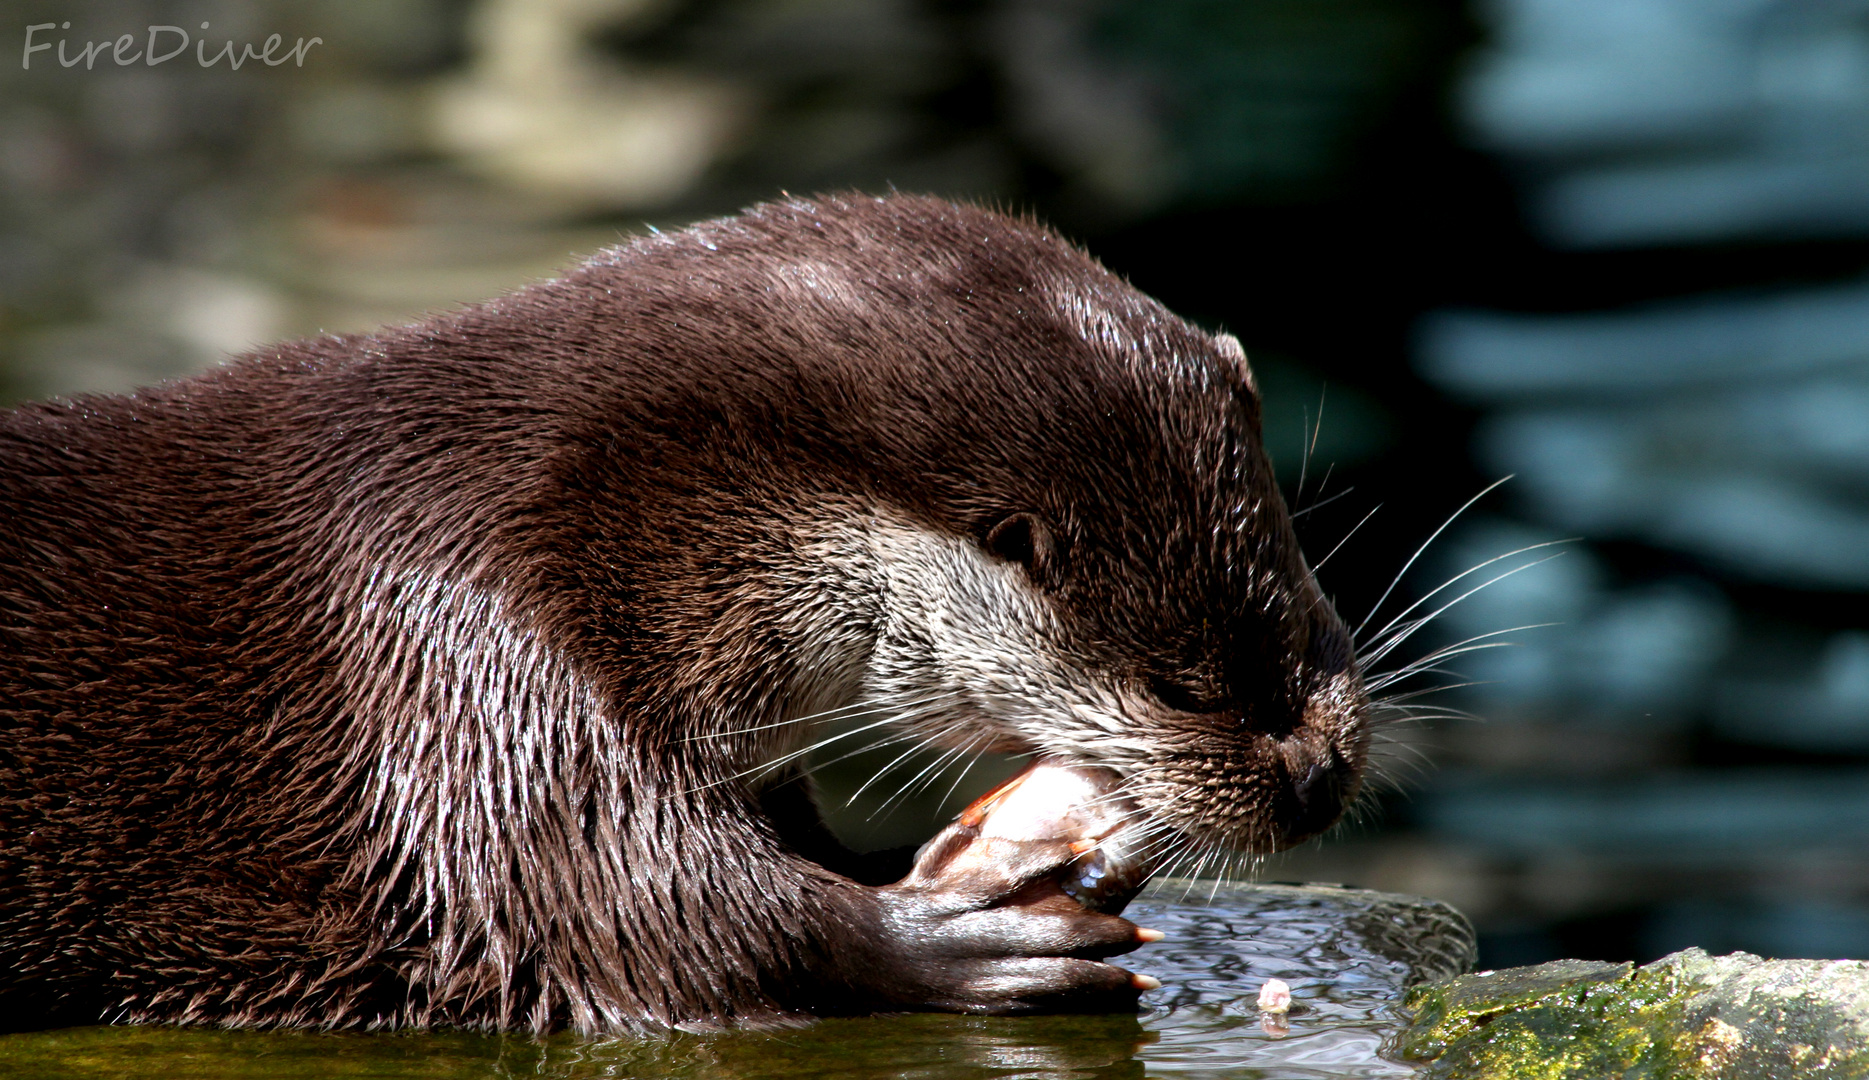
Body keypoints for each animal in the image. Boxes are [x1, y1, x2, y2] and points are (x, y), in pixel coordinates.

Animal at [0, 191, 1368, 1023]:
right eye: (1179, 689)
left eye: (1311, 632)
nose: (1311, 776)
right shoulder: (467, 639)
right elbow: (620, 902)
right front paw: (945, 937)